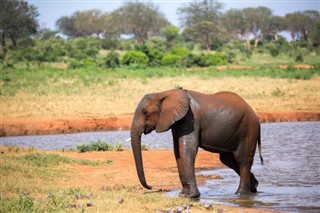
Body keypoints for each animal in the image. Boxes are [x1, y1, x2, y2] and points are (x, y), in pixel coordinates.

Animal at [130, 88, 262, 198]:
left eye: (146, 112)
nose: (151, 187)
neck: (165, 93)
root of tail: (256, 116)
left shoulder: (190, 118)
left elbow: (186, 149)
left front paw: (191, 196)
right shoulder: (178, 121)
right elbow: (177, 151)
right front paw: (183, 194)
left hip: (249, 130)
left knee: (242, 160)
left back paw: (241, 194)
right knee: (228, 159)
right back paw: (254, 187)